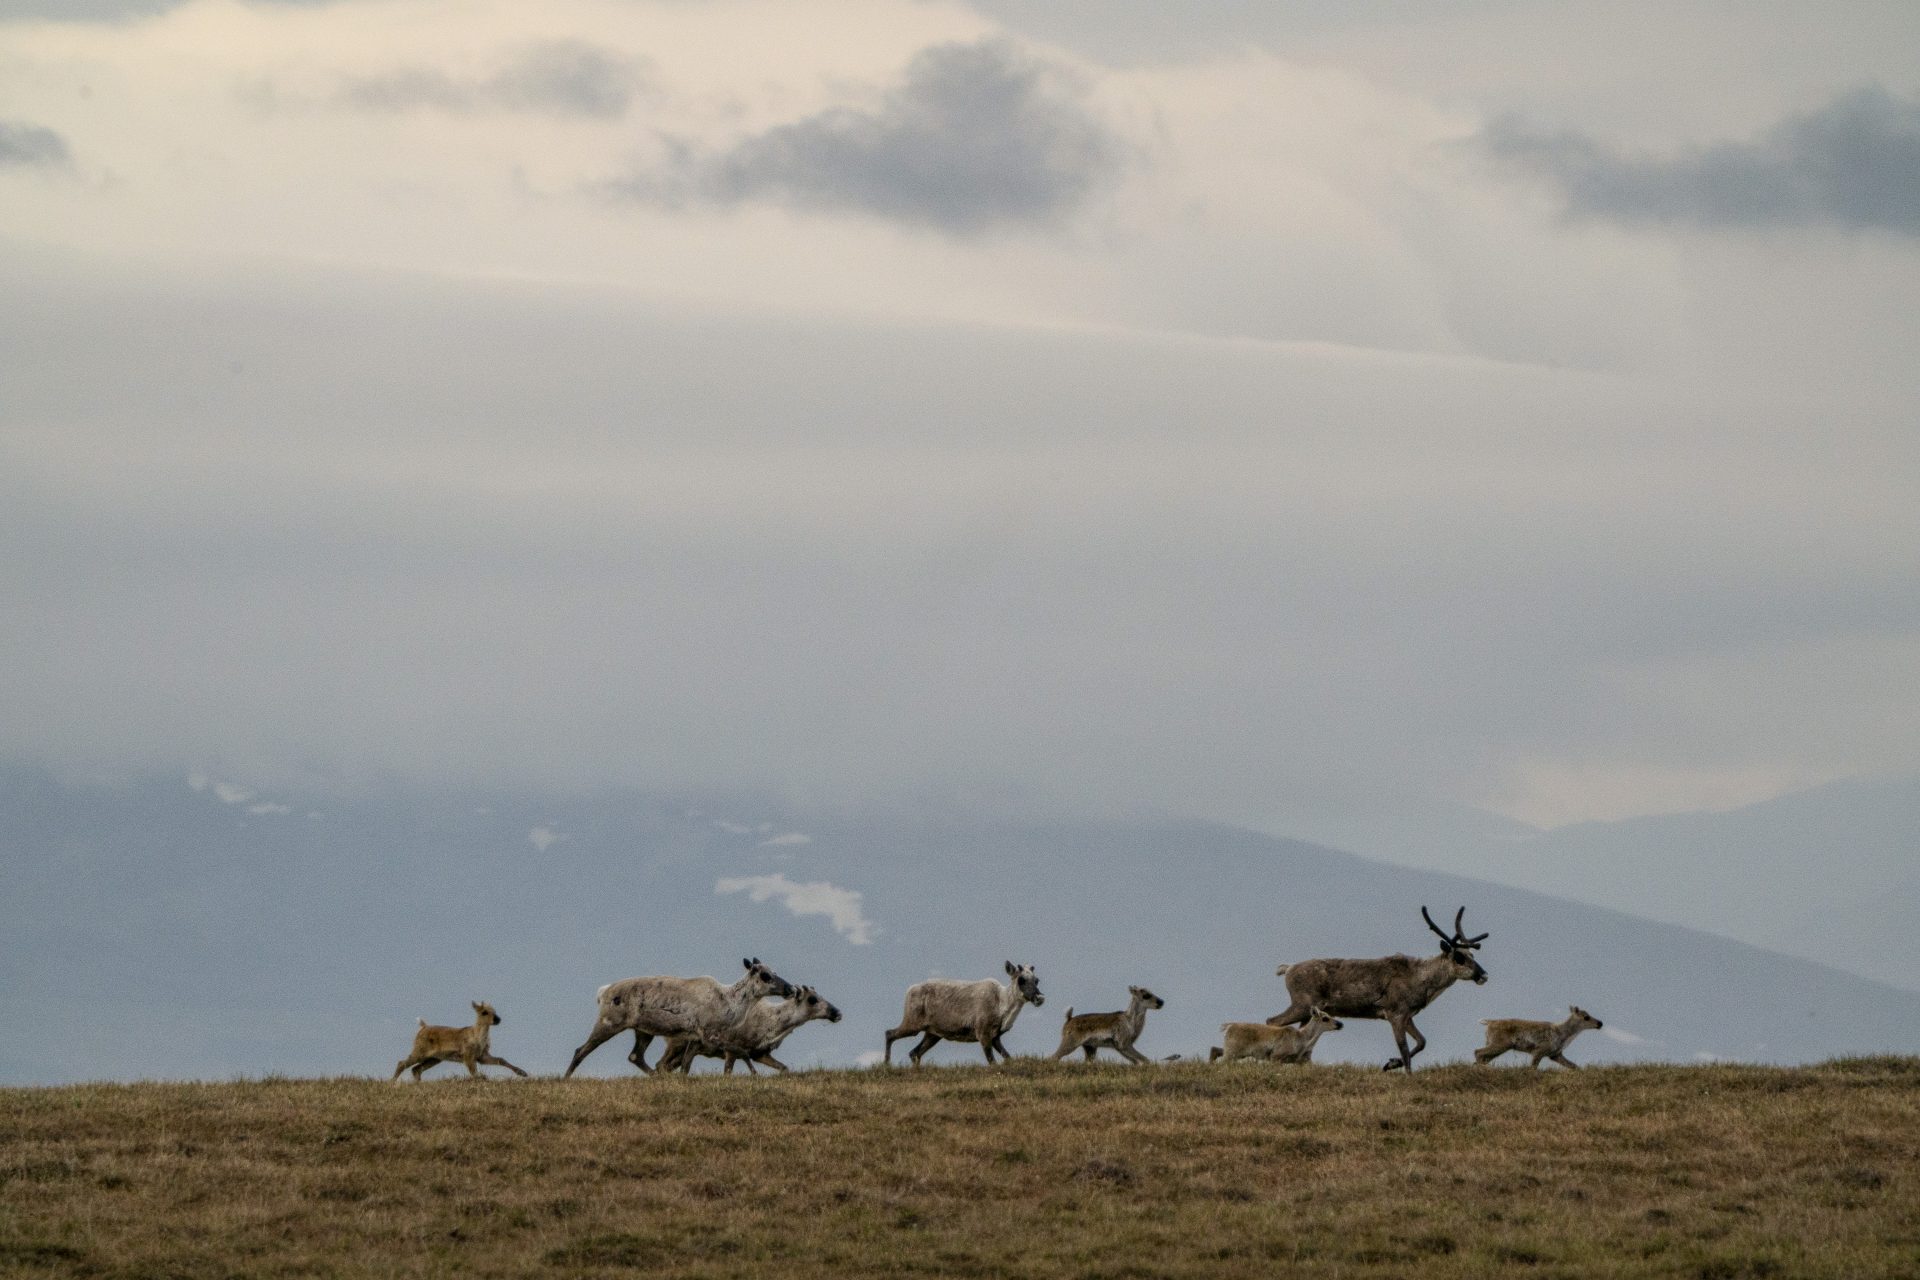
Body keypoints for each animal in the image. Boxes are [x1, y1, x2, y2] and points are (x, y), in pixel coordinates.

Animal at [391, 997, 529, 1082]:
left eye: (495, 1011)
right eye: (484, 1012)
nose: (498, 1019)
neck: (478, 1037)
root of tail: (423, 1027)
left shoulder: (482, 1056)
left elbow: (501, 1059)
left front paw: (523, 1073)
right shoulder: (468, 1056)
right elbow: (475, 1073)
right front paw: (483, 1080)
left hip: (435, 1058)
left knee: (416, 1069)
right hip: (420, 1052)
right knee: (402, 1063)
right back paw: (392, 1082)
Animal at [879, 967, 1044, 1066]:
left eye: (1036, 980)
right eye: (1021, 980)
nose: (1040, 998)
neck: (1002, 1005)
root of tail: (909, 991)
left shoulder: (996, 1036)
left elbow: (1007, 1057)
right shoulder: (982, 1032)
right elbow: (992, 1062)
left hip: (932, 1033)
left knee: (914, 1053)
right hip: (913, 1024)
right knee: (889, 1033)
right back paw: (886, 1064)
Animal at [1205, 1005, 1344, 1066]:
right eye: (1325, 1018)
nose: (1340, 1024)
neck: (1303, 1039)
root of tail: (1229, 1026)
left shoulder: (1303, 1060)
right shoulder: (1276, 1056)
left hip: (1235, 1052)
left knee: (1214, 1049)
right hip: (1232, 1052)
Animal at [1267, 905, 1489, 1074]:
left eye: (1472, 954)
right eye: (1459, 957)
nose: (1484, 975)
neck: (1421, 979)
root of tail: (1288, 968)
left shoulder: (1408, 1015)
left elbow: (1422, 1042)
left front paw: (1390, 1064)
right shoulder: (1395, 1013)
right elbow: (1405, 1049)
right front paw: (1405, 1073)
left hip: (1307, 1011)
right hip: (1301, 1004)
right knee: (1272, 1021)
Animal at [1466, 1005, 1605, 1066]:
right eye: (1586, 1017)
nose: (1600, 1023)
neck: (1563, 1034)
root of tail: (1489, 1022)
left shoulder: (1555, 1055)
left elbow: (1574, 1067)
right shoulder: (1539, 1051)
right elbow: (1532, 1068)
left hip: (1496, 1045)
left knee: (1482, 1056)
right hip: (1501, 1044)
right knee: (1478, 1051)